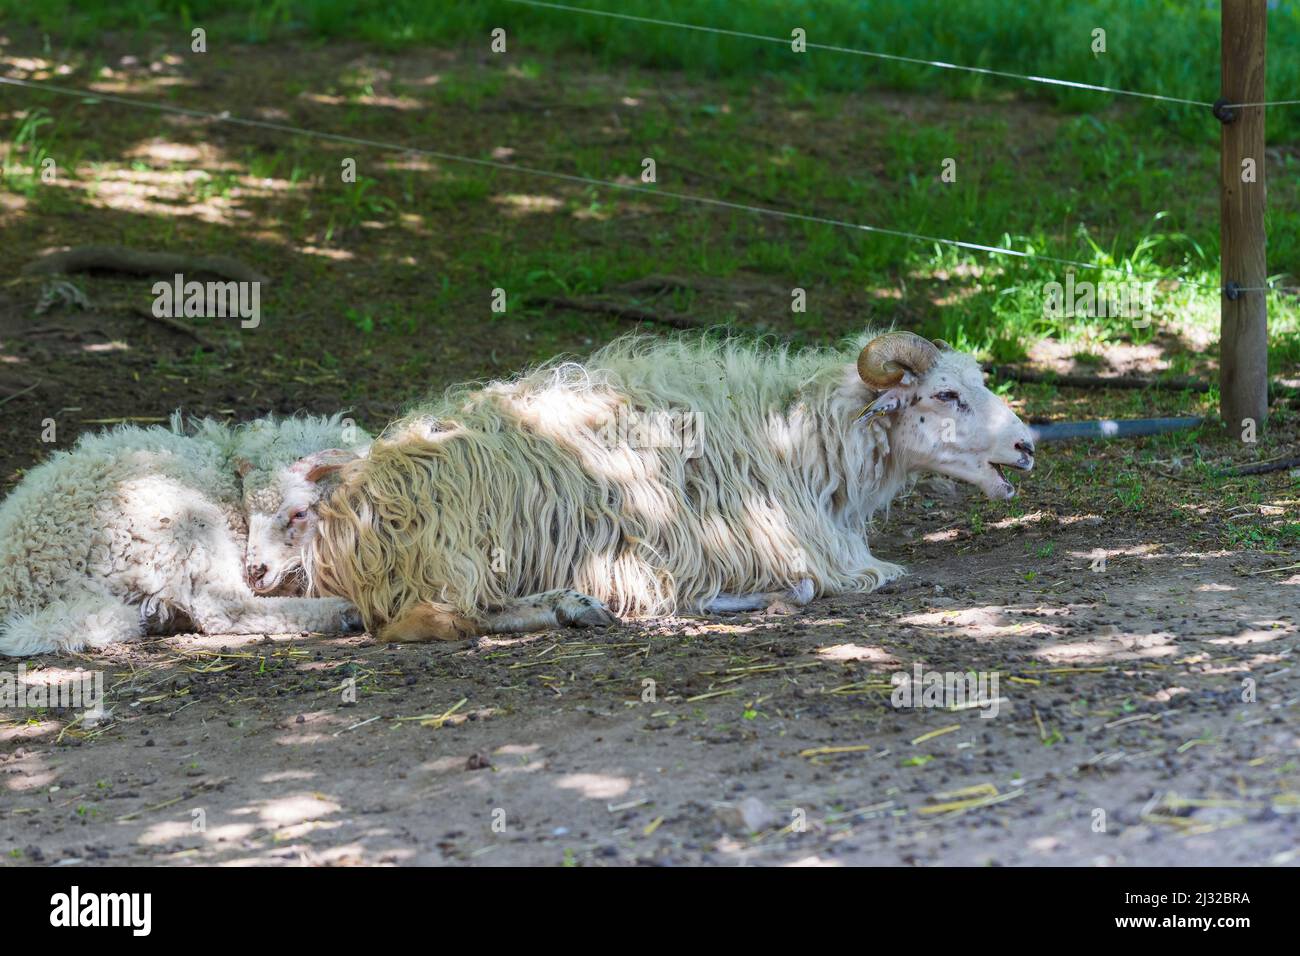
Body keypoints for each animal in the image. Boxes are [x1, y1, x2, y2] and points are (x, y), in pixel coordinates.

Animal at [0, 416, 369, 655]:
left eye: (300, 513)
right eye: (248, 512)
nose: (255, 571)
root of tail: (18, 585)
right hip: (185, 528)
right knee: (224, 610)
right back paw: (344, 611)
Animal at [245, 330, 1034, 642]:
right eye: (946, 396)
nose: (1028, 446)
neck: (797, 431)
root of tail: (340, 505)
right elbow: (821, 584)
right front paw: (746, 598)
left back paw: (574, 605)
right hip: (455, 551)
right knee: (437, 619)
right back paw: (565, 609)